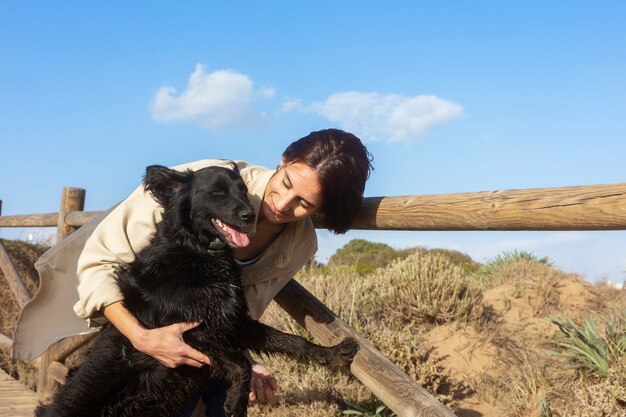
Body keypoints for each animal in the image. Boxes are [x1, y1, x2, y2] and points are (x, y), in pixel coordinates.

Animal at [35, 166, 356, 416]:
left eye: (243, 191)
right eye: (217, 193)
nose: (249, 215)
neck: (200, 255)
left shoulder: (232, 323)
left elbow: (291, 341)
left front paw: (333, 353)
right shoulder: (182, 335)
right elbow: (240, 362)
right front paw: (237, 402)